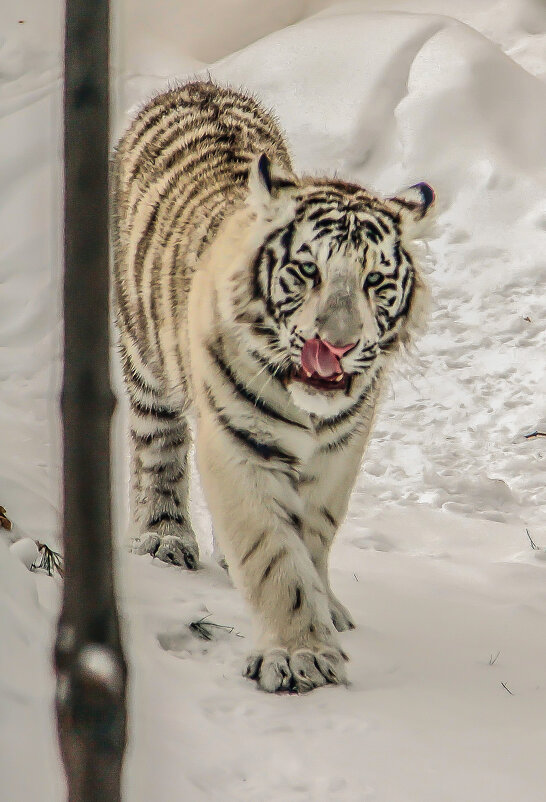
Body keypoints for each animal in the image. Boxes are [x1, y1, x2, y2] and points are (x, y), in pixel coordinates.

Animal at [111, 83, 434, 692]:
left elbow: (314, 536)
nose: (338, 344)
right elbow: (273, 556)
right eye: (308, 271)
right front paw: (298, 654)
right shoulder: (240, 445)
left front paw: (325, 611)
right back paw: (163, 537)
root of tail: (197, 85)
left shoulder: (340, 451)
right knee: (156, 449)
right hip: (144, 357)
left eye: (374, 280)